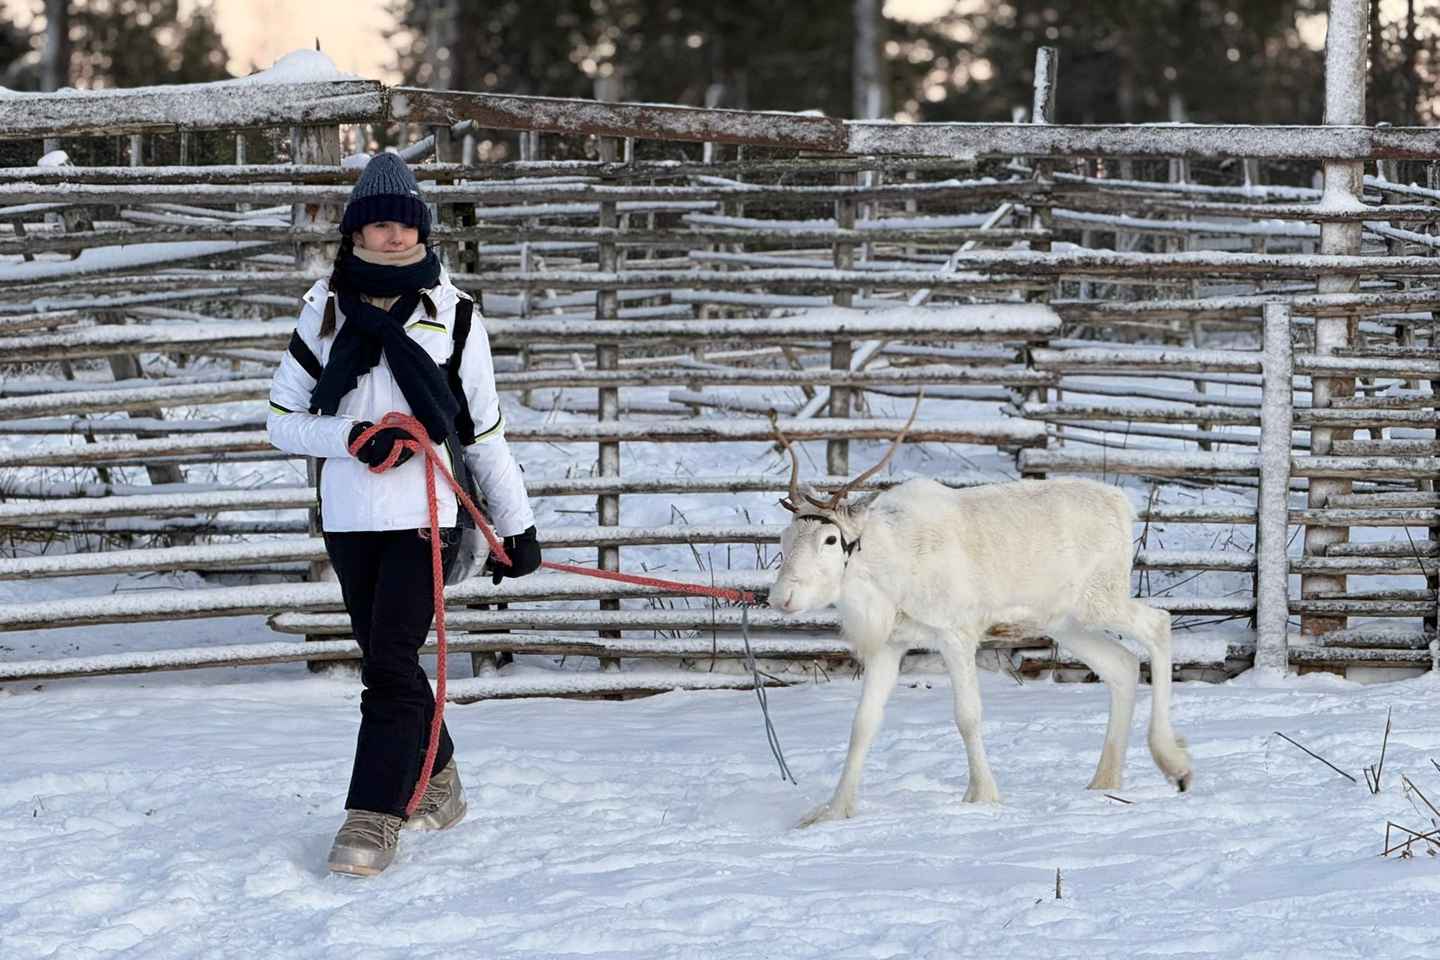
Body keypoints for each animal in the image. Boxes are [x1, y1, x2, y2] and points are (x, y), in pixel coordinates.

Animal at [767, 406, 1192, 827]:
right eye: (784, 539)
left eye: (830, 539)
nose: (780, 597)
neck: (883, 573)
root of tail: (1124, 504)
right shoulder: (890, 643)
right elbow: (863, 724)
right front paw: (834, 809)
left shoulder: (956, 632)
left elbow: (968, 715)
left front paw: (983, 796)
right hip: (1063, 622)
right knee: (1122, 664)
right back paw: (1105, 779)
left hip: (1100, 599)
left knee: (1158, 623)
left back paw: (1174, 763)